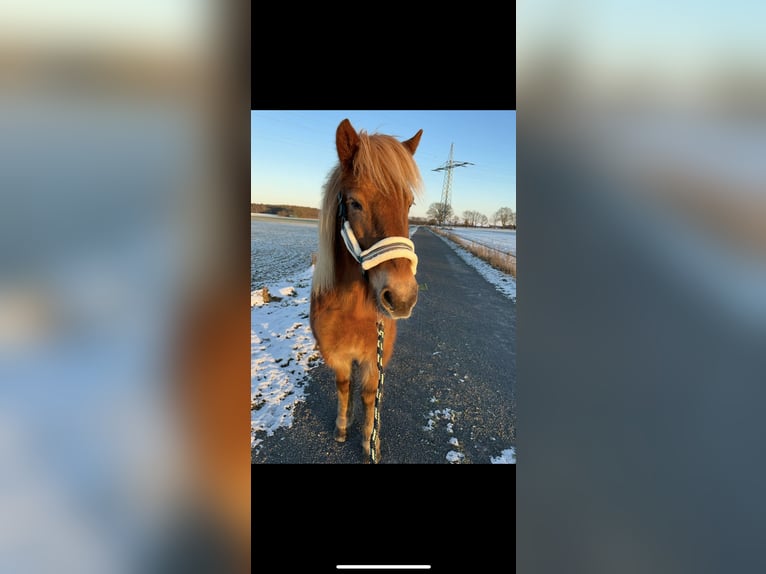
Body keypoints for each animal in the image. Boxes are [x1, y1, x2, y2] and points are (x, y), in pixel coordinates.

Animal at [310, 118, 424, 463]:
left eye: (409, 203)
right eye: (355, 203)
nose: (401, 297)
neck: (353, 308)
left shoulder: (375, 358)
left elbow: (369, 396)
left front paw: (369, 439)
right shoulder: (337, 356)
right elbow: (344, 386)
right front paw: (342, 426)